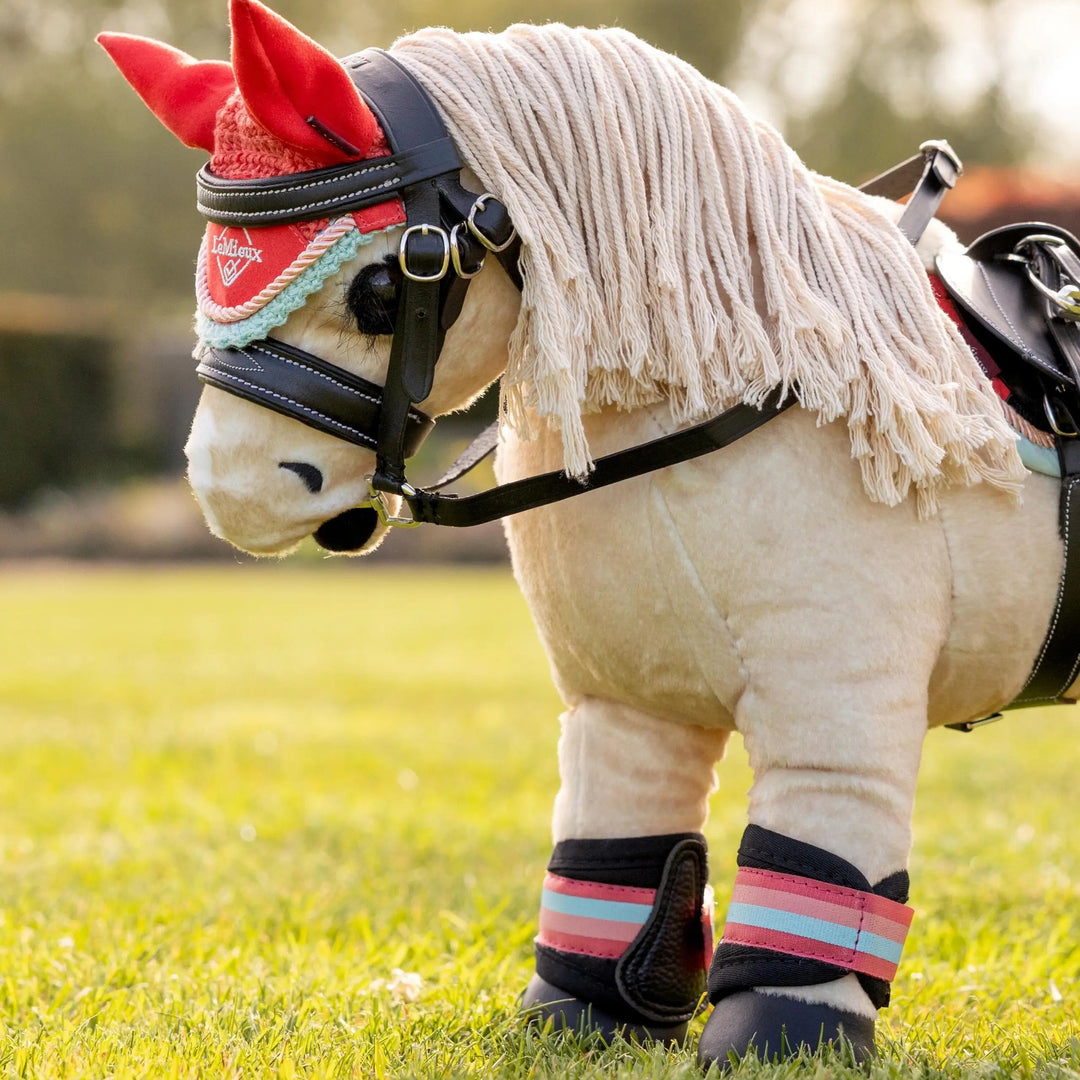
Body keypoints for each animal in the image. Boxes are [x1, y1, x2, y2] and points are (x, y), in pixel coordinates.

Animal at [98, 0, 1080, 1067]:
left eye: (380, 286)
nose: (230, 488)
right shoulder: (624, 696)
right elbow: (618, 851)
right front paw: (577, 1020)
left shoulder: (839, 701)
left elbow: (818, 861)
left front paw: (781, 1040)